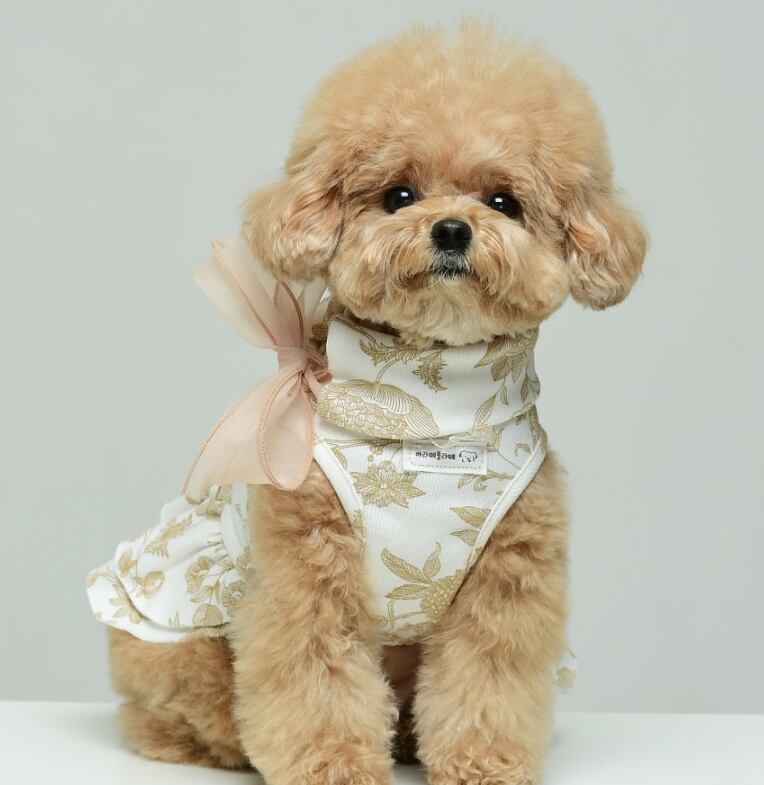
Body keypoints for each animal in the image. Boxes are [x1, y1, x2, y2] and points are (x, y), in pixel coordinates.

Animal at [100, 22, 646, 785]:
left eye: (502, 202)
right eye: (399, 194)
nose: (450, 229)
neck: (433, 413)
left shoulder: (507, 579)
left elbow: (488, 678)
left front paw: (483, 760)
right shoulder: (306, 574)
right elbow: (314, 674)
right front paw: (332, 763)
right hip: (175, 638)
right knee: (178, 705)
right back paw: (215, 740)